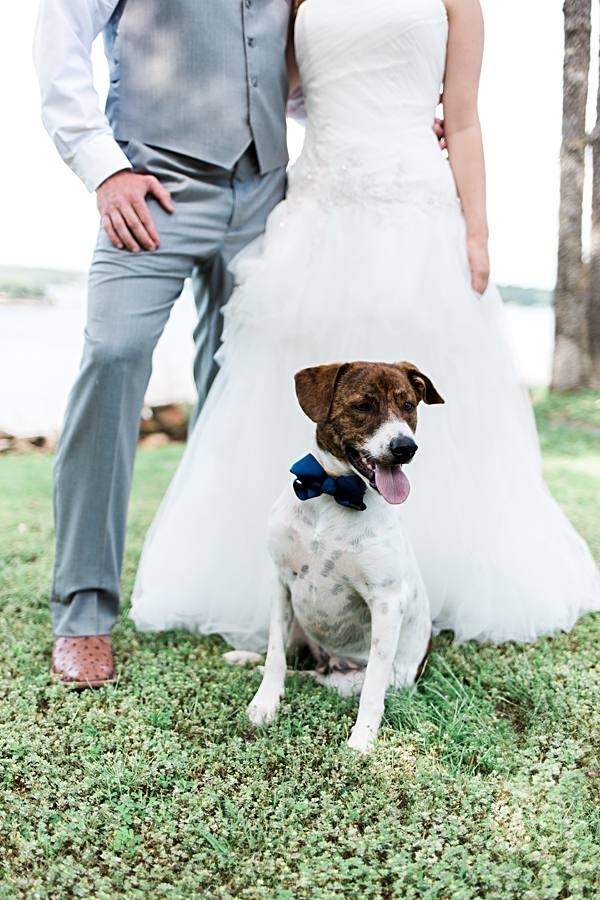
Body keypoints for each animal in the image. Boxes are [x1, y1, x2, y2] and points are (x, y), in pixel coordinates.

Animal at [245, 358, 446, 752]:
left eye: (408, 405)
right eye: (363, 405)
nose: (406, 447)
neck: (332, 492)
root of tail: (331, 663)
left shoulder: (386, 601)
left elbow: (373, 689)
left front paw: (362, 738)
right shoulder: (281, 582)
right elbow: (275, 656)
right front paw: (265, 702)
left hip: (346, 682)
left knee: (320, 678)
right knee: (293, 662)